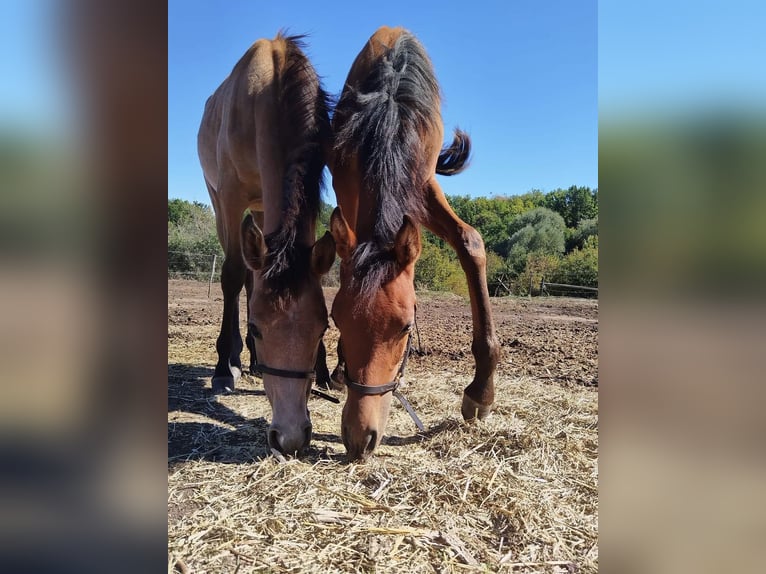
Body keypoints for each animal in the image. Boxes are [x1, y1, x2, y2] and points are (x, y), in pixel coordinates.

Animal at [198, 33, 336, 456]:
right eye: (258, 329)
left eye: (322, 329)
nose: (290, 437)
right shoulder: (230, 196)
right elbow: (231, 275)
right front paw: (224, 368)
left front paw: (323, 372)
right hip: (224, 203)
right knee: (240, 276)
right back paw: (233, 360)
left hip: (261, 211)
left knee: (252, 277)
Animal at [330, 27, 504, 462]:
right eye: (336, 319)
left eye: (407, 327)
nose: (360, 438)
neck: (389, 111)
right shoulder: (347, 187)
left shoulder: (423, 182)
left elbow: (470, 243)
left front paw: (481, 392)